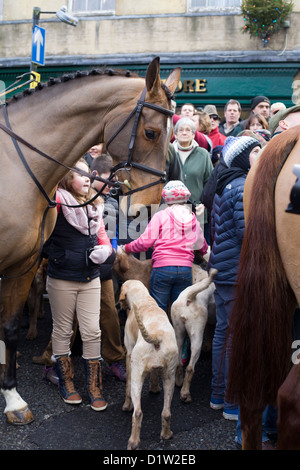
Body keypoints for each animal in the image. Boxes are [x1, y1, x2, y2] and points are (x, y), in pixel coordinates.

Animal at [0, 57, 180, 424]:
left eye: (172, 136)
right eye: (151, 132)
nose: (147, 207)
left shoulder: (21, 266)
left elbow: (9, 327)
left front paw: (12, 399)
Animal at [119, 280, 178, 450]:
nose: (120, 307)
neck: (144, 300)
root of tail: (156, 336)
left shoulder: (129, 355)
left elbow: (127, 388)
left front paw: (126, 406)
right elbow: (154, 376)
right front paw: (154, 389)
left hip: (137, 376)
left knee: (138, 413)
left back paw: (133, 442)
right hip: (169, 377)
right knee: (166, 413)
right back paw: (166, 434)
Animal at [171, 270, 216, 402]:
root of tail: (189, 297)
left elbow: (210, 332)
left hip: (178, 333)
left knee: (179, 363)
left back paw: (179, 382)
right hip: (197, 337)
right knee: (190, 368)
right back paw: (185, 393)